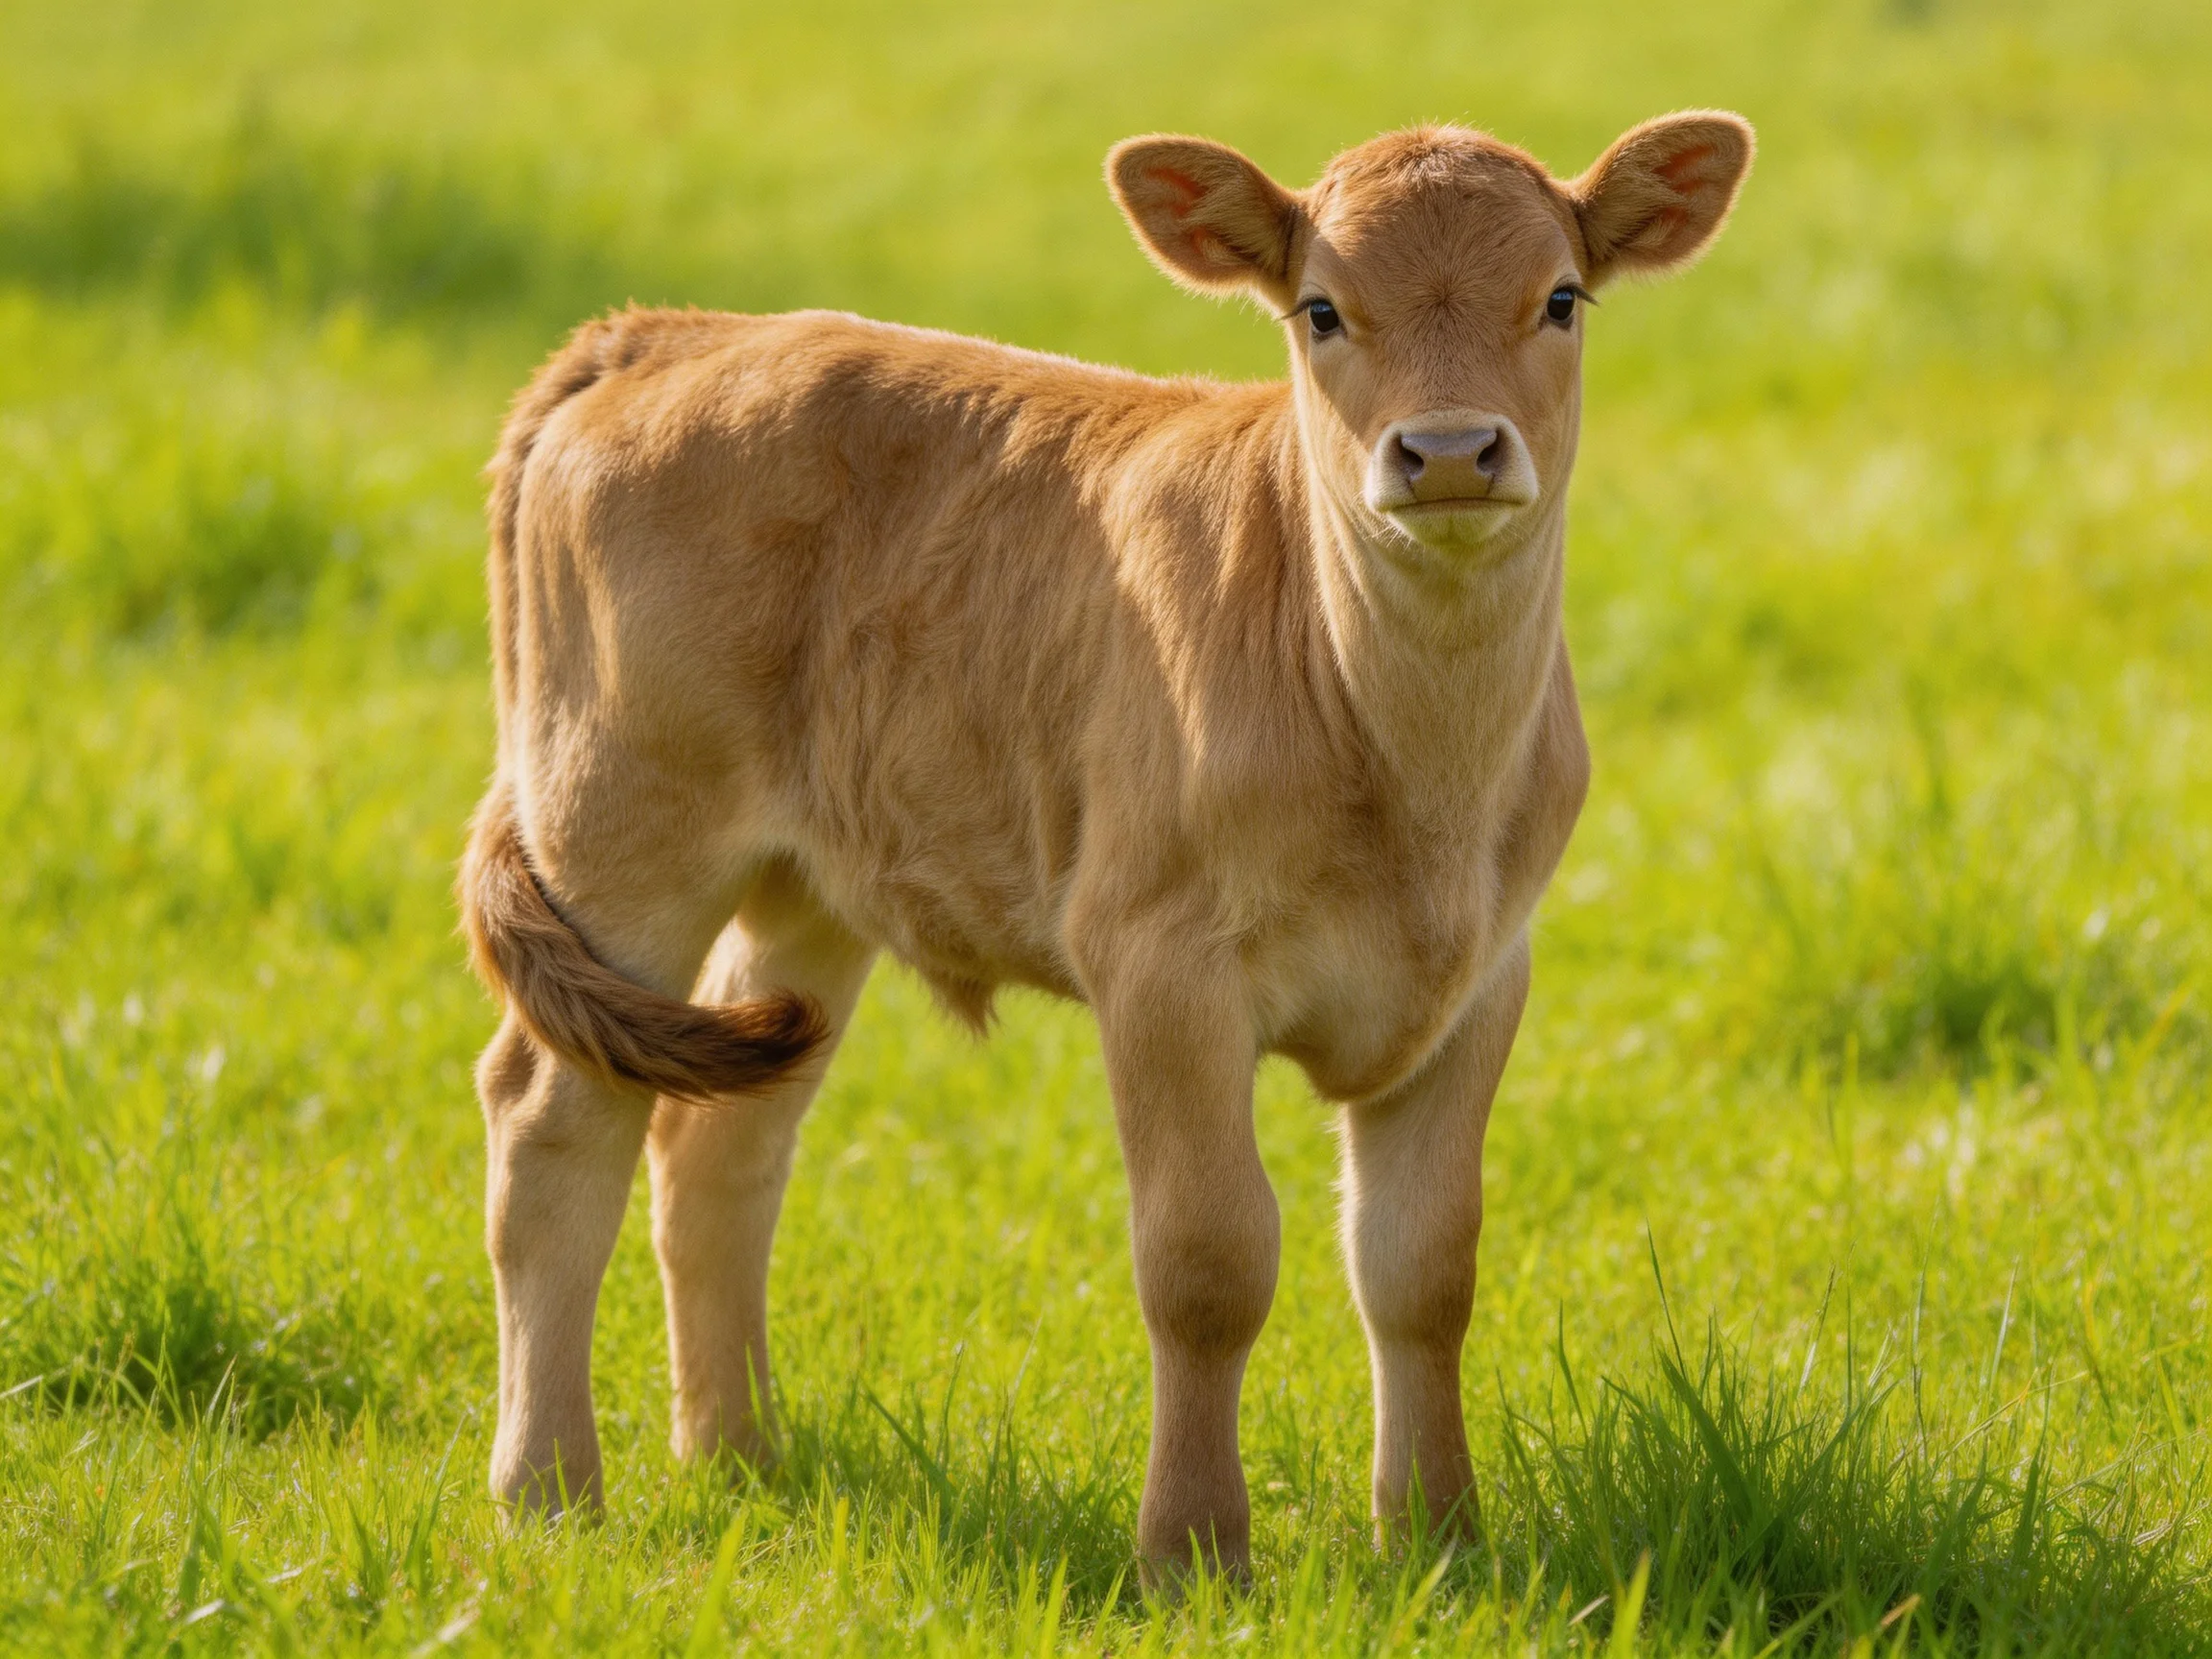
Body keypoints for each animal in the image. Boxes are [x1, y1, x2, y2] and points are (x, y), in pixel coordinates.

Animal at [459, 111, 1753, 1579]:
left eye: (1561, 298)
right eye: (1321, 308)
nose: (1448, 452)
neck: (1412, 765)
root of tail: (667, 334)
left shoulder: (1482, 977)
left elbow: (1424, 1268)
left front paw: (1436, 1540)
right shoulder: (1159, 962)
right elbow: (1207, 1263)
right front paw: (1192, 1552)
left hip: (807, 886)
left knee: (718, 1138)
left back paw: (739, 1454)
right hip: (616, 822)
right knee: (553, 1121)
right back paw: (549, 1489)